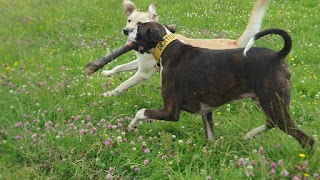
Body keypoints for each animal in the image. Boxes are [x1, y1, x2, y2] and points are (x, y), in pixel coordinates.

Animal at [101, 0, 268, 97]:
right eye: (129, 20)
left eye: (140, 24)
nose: (125, 30)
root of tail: (233, 43)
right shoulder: (141, 63)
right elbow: (119, 66)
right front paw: (108, 72)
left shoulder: (143, 73)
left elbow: (123, 84)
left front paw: (110, 93)